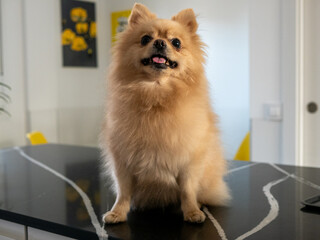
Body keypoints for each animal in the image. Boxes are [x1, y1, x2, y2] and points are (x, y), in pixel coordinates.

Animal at [101, 2, 229, 224]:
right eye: (145, 39)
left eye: (176, 42)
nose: (160, 43)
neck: (156, 94)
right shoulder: (123, 160)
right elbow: (123, 191)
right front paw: (118, 213)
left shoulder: (188, 160)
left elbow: (187, 189)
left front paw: (192, 212)